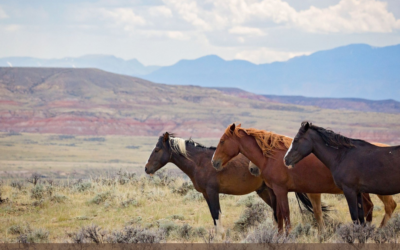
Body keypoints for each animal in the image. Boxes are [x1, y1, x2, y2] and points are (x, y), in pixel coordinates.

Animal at [145, 133, 320, 236]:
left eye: (157, 149)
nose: (147, 169)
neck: (201, 162)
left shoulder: (213, 192)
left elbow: (216, 214)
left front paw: (220, 236)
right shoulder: (206, 194)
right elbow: (213, 215)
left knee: (279, 213)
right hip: (264, 191)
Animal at [211, 124, 396, 233]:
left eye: (222, 141)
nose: (214, 162)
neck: (273, 157)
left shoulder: (281, 190)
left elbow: (285, 213)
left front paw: (288, 236)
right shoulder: (279, 192)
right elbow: (280, 214)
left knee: (387, 206)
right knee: (370, 207)